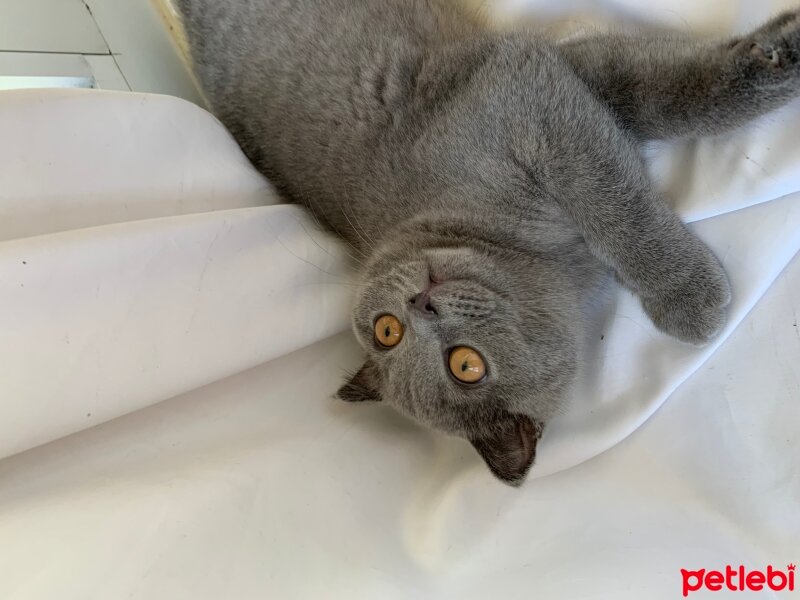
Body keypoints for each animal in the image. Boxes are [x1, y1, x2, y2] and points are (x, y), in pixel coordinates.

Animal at [178, 0, 800, 486]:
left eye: (386, 330)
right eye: (466, 366)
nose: (420, 304)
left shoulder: (524, 89)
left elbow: (667, 104)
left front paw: (780, 53)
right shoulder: (542, 96)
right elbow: (622, 185)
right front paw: (690, 296)